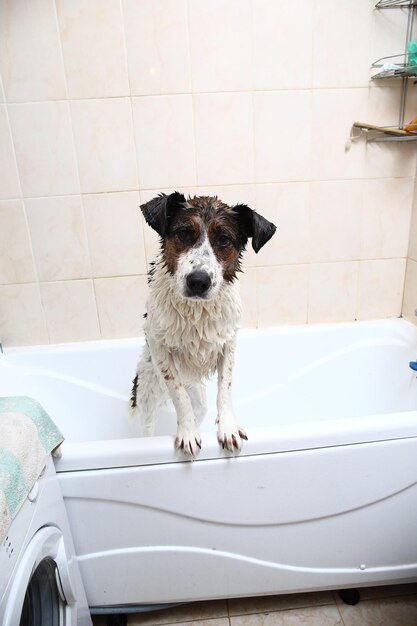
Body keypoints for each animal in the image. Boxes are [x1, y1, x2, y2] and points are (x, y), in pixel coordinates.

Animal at [128, 193, 274, 456]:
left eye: (224, 239)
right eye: (184, 233)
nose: (198, 281)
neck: (196, 311)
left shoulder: (228, 342)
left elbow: (225, 388)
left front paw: (227, 427)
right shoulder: (159, 346)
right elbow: (178, 394)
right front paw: (187, 433)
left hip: (198, 398)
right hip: (148, 393)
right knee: (148, 425)